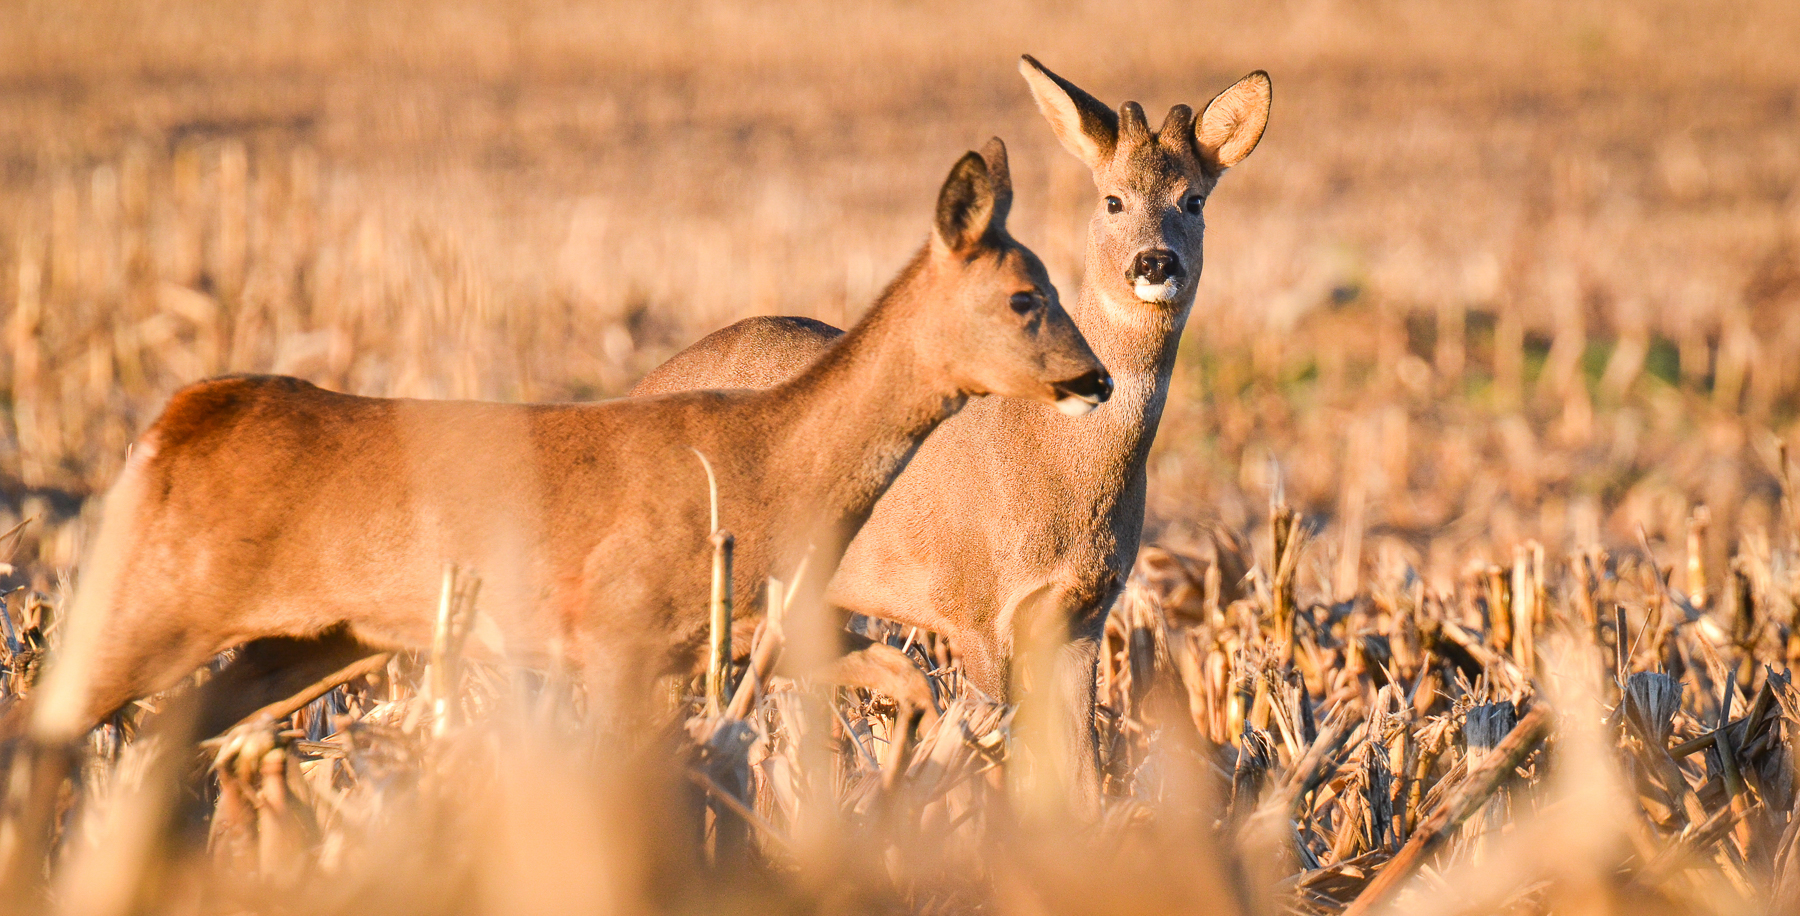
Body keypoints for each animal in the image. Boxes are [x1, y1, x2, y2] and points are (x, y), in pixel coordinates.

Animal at [17, 139, 1108, 745]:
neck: (767, 462)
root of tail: (168, 426)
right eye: (1026, 296)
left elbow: (909, 685)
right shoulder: (616, 630)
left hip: (309, 641)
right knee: (47, 727)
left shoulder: (745, 631)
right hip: (149, 599)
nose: (1095, 378)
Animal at [633, 58, 1267, 799]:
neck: (1056, 462)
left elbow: (1083, 779)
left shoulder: (1085, 613)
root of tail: (639, 387)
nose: (1156, 262)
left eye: (1193, 200)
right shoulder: (974, 610)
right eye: (1112, 199)